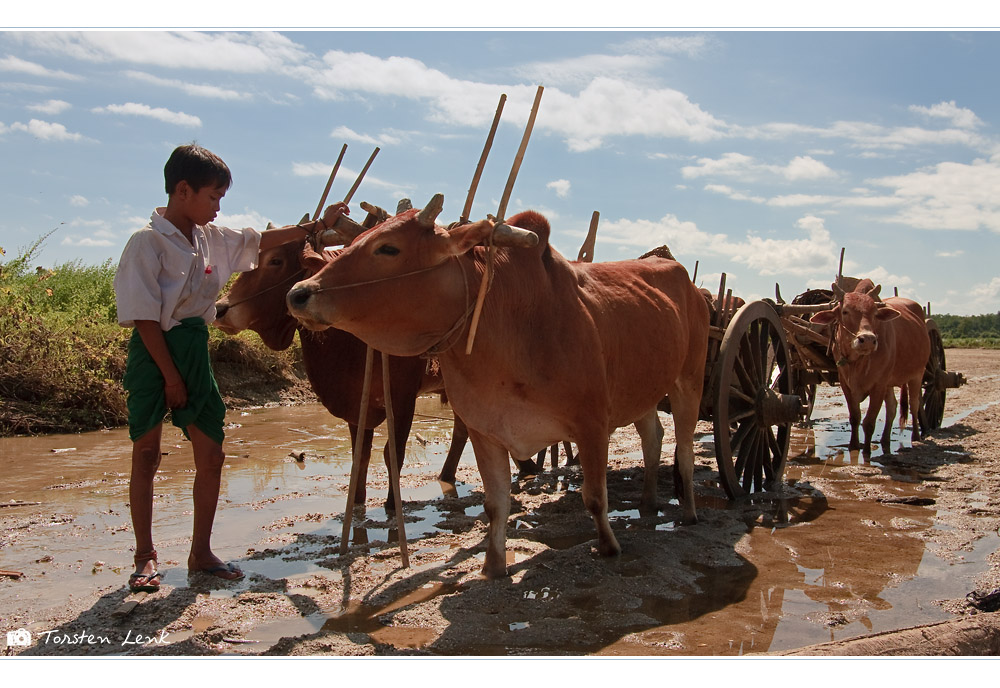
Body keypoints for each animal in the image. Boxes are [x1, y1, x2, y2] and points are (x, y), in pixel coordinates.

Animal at [812, 280, 928, 456]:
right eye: (845, 311)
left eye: (875, 313)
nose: (867, 339)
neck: (857, 362)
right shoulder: (846, 383)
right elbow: (855, 417)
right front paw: (853, 446)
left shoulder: (878, 385)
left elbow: (869, 422)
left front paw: (866, 452)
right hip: (891, 383)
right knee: (892, 408)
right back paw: (885, 440)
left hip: (917, 374)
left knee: (914, 405)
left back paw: (915, 436)